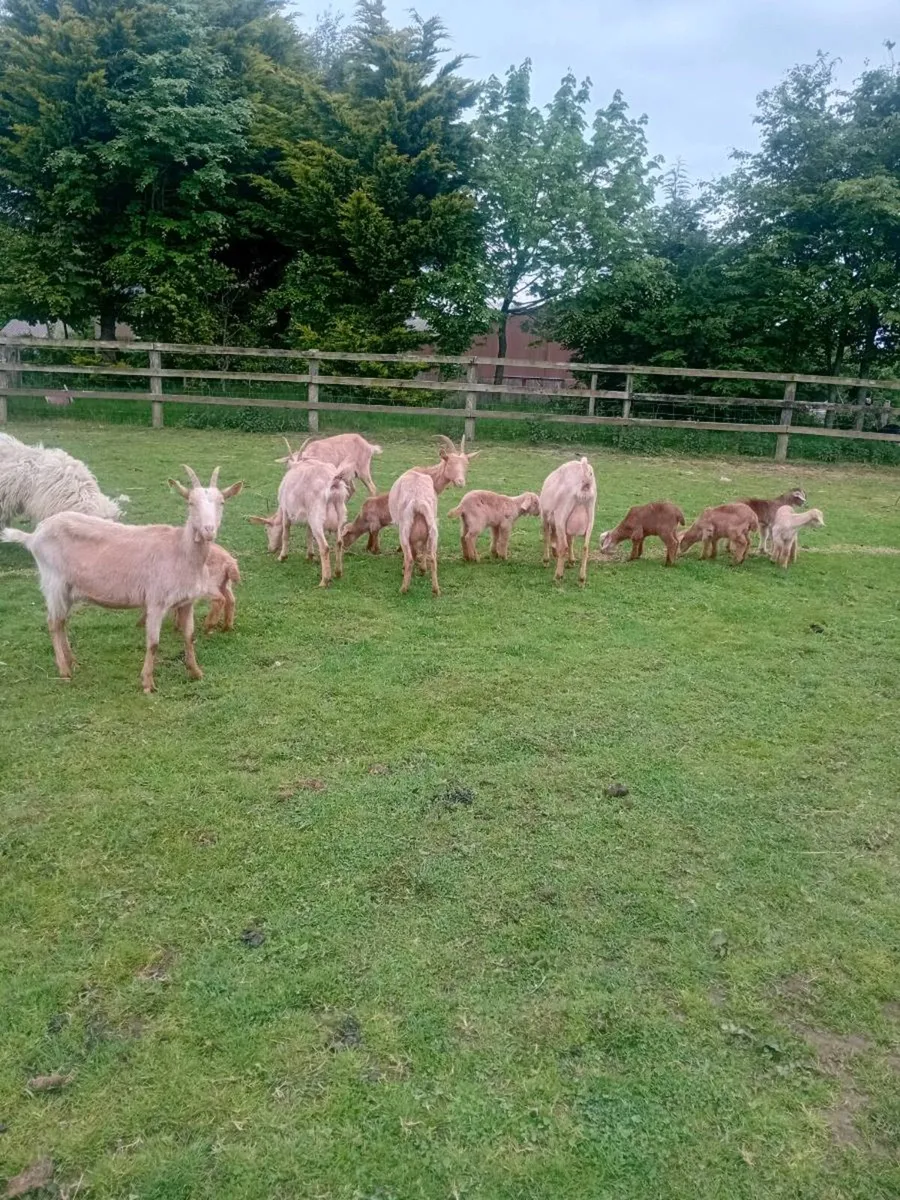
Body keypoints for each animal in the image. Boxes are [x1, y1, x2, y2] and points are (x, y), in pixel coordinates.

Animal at [2, 466, 242, 692]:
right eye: (191, 502)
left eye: (222, 502)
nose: (208, 530)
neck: (180, 551)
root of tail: (33, 536)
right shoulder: (156, 601)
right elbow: (153, 643)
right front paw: (147, 683)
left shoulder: (186, 601)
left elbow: (189, 637)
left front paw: (195, 672)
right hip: (54, 582)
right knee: (53, 623)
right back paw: (64, 670)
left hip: (68, 588)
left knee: (62, 622)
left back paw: (73, 662)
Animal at [248, 458, 354, 586]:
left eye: (266, 529)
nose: (270, 549)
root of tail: (334, 484)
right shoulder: (308, 519)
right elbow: (308, 534)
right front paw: (309, 556)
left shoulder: (286, 510)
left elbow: (285, 533)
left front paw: (282, 556)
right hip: (340, 515)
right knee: (339, 542)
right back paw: (338, 573)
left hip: (316, 516)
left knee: (324, 547)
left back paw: (324, 581)